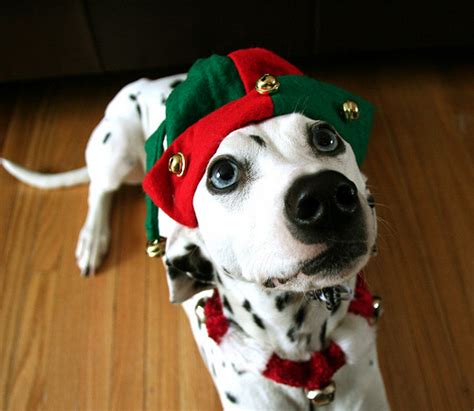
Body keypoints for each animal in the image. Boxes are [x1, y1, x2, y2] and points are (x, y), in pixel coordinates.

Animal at [0, 75, 388, 410]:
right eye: (223, 173)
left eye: (326, 137)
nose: (326, 196)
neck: (308, 364)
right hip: (116, 151)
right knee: (99, 190)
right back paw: (93, 238)